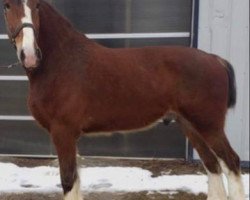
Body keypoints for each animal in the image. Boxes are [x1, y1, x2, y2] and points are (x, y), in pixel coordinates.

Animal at [1, 0, 244, 200]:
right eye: (7, 5)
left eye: (36, 5)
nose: (29, 54)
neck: (61, 62)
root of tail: (215, 59)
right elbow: (75, 180)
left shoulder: (63, 132)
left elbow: (68, 180)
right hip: (191, 126)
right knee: (212, 165)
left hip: (209, 126)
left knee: (231, 162)